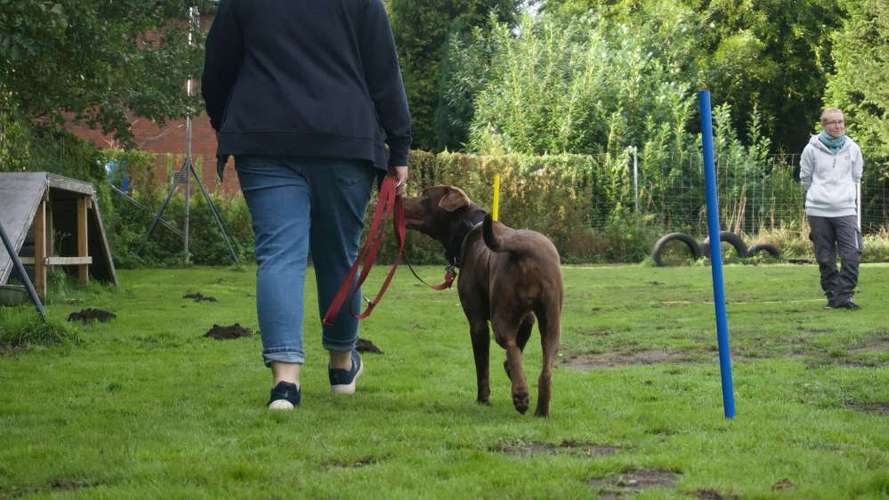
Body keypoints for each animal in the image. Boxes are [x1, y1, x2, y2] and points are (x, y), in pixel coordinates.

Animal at [404, 186, 560, 416]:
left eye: (424, 196)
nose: (399, 198)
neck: (468, 228)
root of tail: (522, 247)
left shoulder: (477, 322)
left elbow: (483, 366)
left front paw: (483, 398)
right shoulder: (528, 318)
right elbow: (520, 344)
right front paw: (508, 370)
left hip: (501, 315)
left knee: (509, 345)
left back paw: (521, 396)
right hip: (551, 319)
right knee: (546, 367)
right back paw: (541, 410)